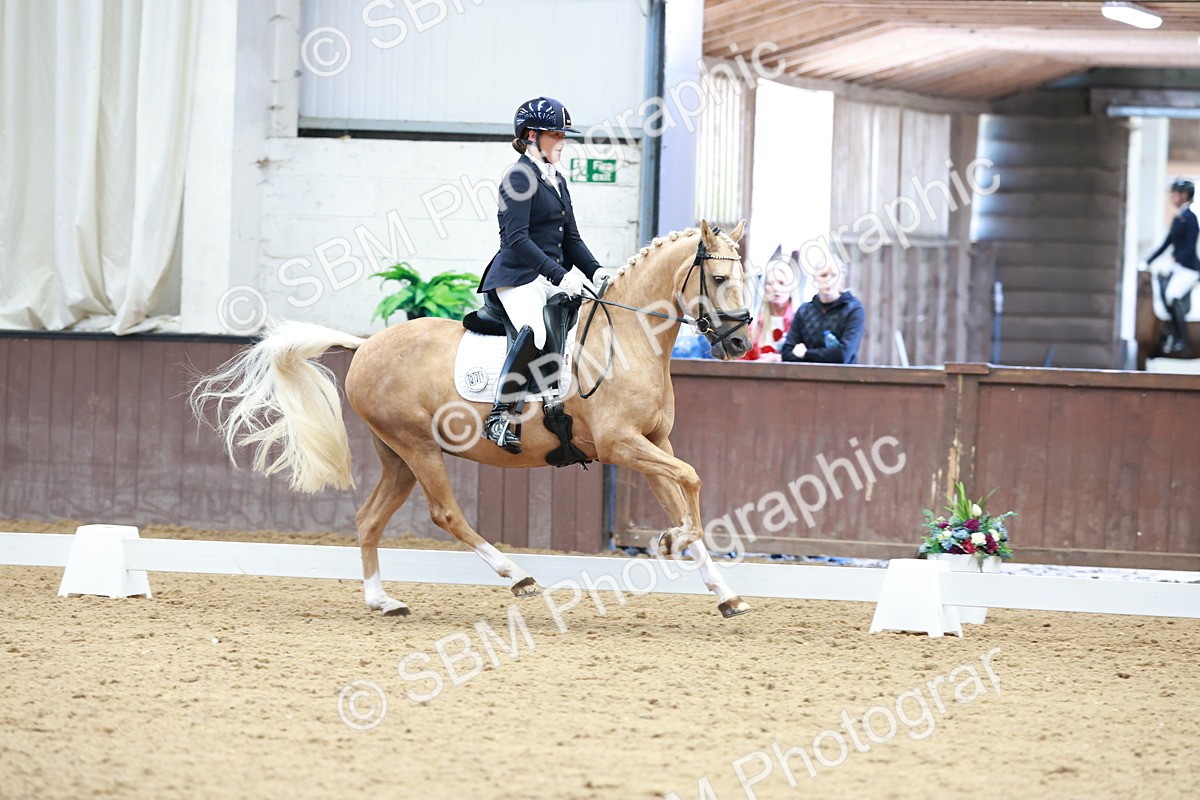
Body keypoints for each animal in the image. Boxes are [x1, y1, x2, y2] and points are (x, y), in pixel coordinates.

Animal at [191, 220, 756, 619]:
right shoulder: (622, 444)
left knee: (369, 518)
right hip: (418, 448)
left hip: (396, 456)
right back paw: (516, 575)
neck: (628, 338)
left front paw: (723, 592)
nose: (740, 343)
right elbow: (692, 479)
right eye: (719, 278)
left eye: (745, 279)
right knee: (446, 513)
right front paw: (673, 541)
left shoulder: (654, 441)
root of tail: (366, 344)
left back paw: (383, 601)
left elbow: (683, 489)